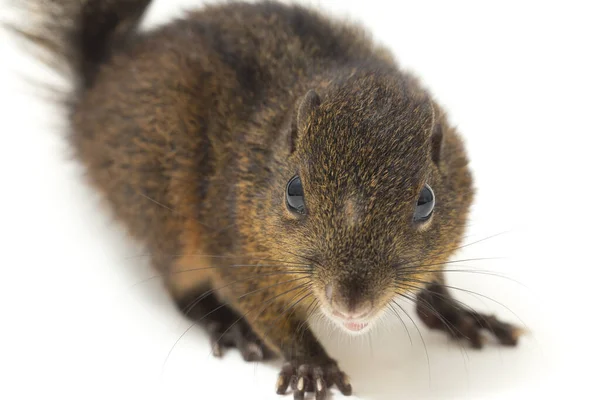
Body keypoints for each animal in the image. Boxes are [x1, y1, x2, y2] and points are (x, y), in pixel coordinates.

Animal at [11, 0, 524, 400]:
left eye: (426, 201)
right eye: (293, 192)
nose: (351, 304)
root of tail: (96, 89)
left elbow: (434, 278)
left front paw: (457, 312)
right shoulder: (237, 248)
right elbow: (265, 310)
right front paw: (311, 362)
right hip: (165, 208)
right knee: (180, 287)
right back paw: (226, 323)